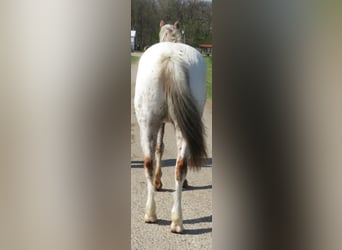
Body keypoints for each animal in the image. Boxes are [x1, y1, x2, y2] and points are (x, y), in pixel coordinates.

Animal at [134, 22, 208, 233]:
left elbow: (160, 148)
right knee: (178, 165)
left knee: (151, 163)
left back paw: (153, 214)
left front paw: (159, 182)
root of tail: (171, 57)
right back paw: (176, 220)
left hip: (148, 124)